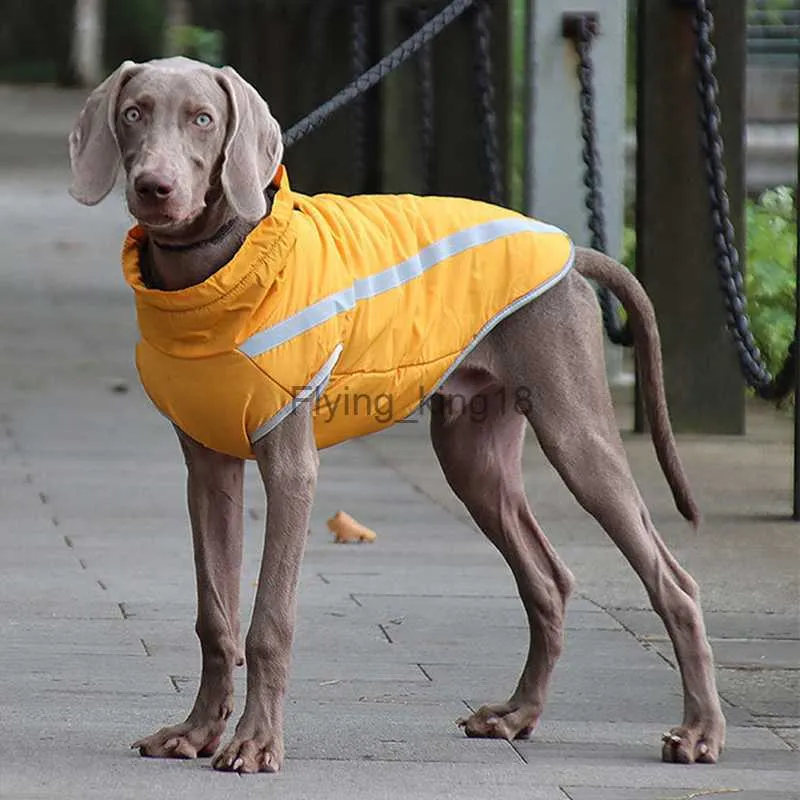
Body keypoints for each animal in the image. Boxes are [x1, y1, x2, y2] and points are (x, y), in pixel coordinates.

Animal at [69, 57, 728, 776]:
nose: (153, 188)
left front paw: (256, 742)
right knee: (549, 581)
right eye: (134, 113)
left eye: (203, 119)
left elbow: (269, 619)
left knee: (674, 582)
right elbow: (214, 616)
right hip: (473, 453)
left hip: (575, 432)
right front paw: (195, 732)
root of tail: (573, 255)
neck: (213, 272)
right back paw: (517, 714)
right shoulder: (207, 468)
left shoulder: (291, 467)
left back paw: (699, 731)